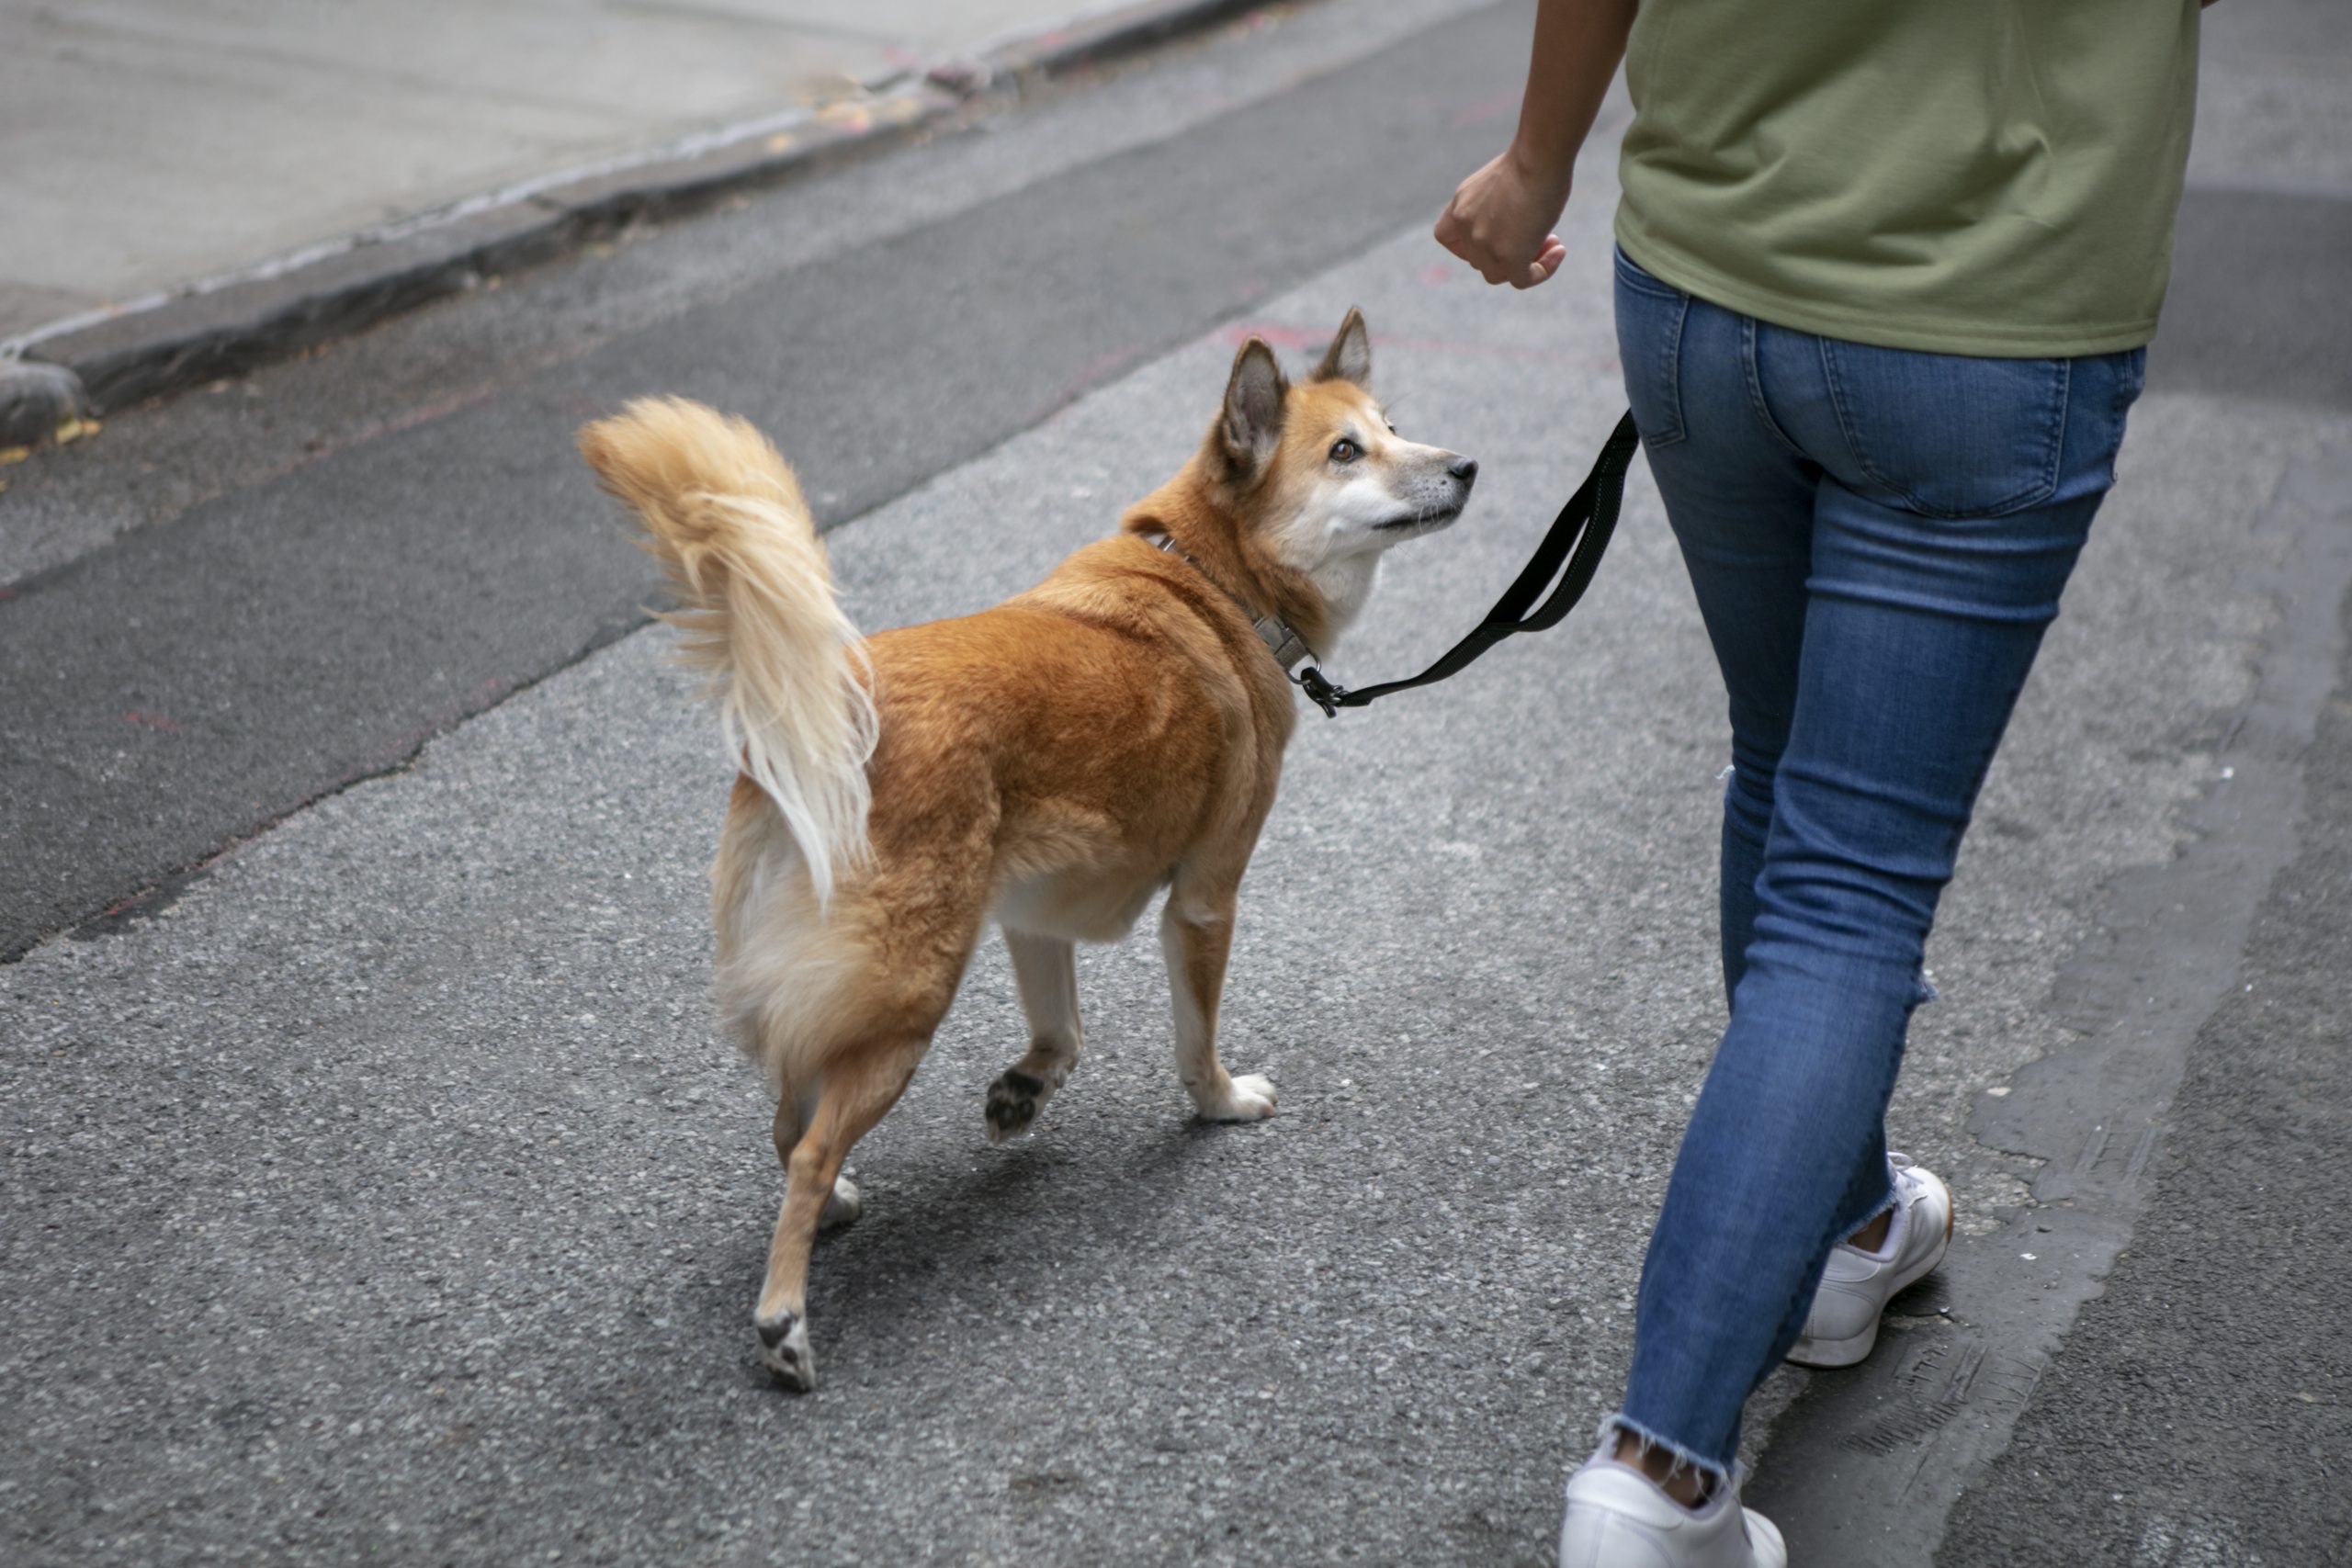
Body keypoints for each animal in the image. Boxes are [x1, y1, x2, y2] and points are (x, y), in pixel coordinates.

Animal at [578, 310, 1467, 1382]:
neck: (1211, 579)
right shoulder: (1205, 899)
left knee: (791, 1118)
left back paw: (832, 1209)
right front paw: (1218, 1103)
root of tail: (835, 706)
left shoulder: (1036, 913)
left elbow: (1064, 1034)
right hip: (907, 996)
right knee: (809, 1140)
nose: (1465, 466)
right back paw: (784, 1318)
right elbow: (1194, 1041)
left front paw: (1022, 1093)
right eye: (1345, 452)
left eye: (1394, 427)